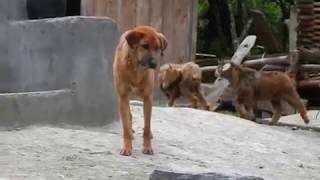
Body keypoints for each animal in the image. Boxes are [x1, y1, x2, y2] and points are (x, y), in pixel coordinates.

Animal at [113, 25, 168, 156]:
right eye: (144, 46)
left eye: (157, 47)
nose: (154, 64)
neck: (136, 68)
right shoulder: (123, 97)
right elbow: (126, 126)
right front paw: (127, 147)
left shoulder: (148, 99)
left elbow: (147, 127)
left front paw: (147, 147)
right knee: (129, 116)